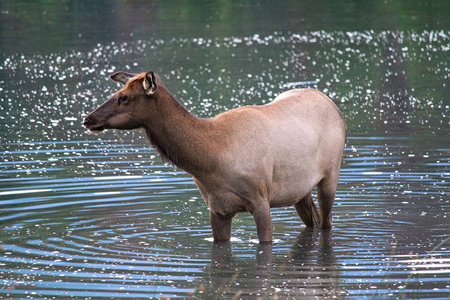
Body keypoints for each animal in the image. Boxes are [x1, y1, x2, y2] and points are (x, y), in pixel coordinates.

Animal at [82, 71, 346, 244]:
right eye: (118, 92)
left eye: (123, 97)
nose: (88, 119)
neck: (211, 158)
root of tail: (334, 107)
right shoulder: (216, 208)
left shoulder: (260, 199)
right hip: (299, 190)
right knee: (313, 219)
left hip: (330, 176)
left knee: (327, 222)